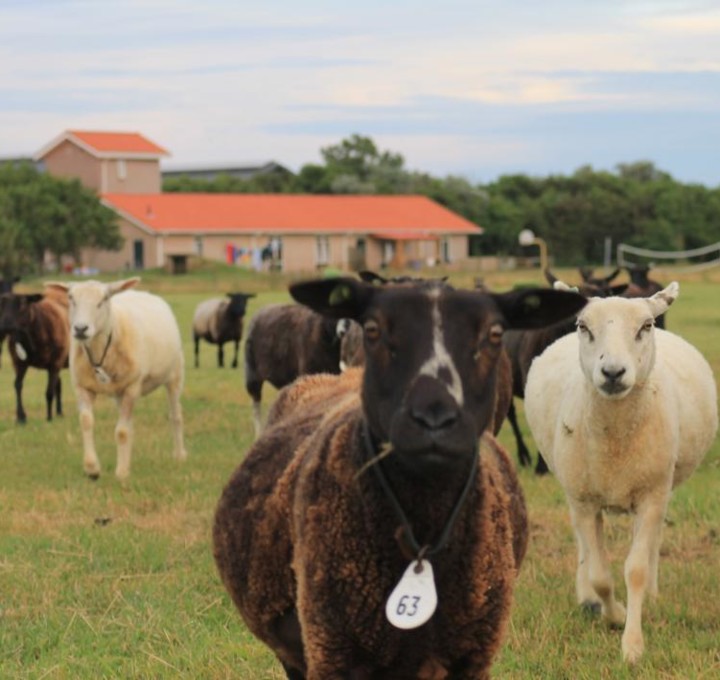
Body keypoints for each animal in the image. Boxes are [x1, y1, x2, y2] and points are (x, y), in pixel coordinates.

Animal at [0, 288, 70, 424]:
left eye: (23, 303)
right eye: (1, 305)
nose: (5, 326)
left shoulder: (55, 363)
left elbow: (49, 392)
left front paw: (49, 418)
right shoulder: (19, 362)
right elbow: (17, 385)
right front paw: (21, 417)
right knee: (58, 384)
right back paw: (59, 413)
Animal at [44, 278, 186, 480]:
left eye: (103, 299)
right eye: (70, 298)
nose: (80, 329)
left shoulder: (132, 387)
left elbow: (122, 432)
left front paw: (121, 472)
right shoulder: (82, 387)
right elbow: (86, 422)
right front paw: (92, 468)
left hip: (174, 374)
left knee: (175, 414)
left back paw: (179, 455)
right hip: (120, 392)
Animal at [524, 282, 720, 664]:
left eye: (645, 326)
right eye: (583, 327)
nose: (613, 373)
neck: (614, 443)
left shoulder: (651, 494)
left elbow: (636, 569)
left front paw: (632, 644)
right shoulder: (584, 500)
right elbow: (601, 574)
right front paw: (612, 614)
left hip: (659, 485)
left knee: (652, 541)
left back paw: (652, 595)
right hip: (575, 488)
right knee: (584, 546)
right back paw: (586, 598)